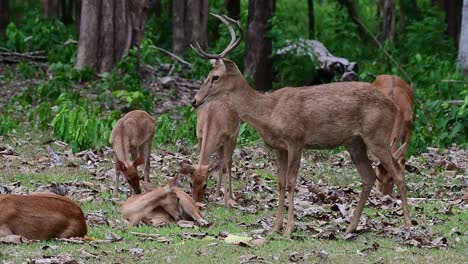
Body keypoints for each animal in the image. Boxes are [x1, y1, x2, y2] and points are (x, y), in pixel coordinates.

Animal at [188, 13, 412, 237]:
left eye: (215, 77)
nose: (194, 100)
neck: (268, 111)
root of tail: (393, 106)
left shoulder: (296, 140)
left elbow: (291, 182)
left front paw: (289, 229)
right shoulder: (279, 147)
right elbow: (279, 182)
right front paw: (275, 227)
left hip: (377, 136)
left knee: (399, 173)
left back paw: (408, 225)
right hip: (355, 142)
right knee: (369, 176)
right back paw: (351, 227)